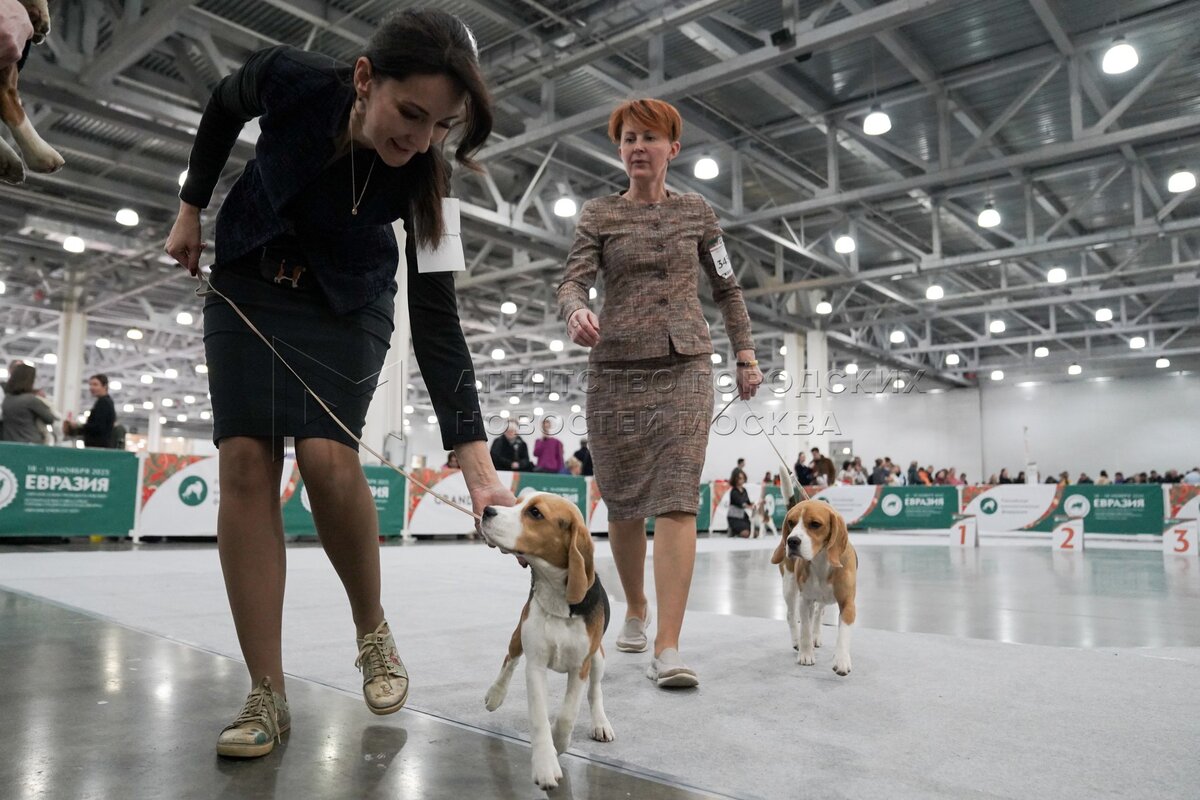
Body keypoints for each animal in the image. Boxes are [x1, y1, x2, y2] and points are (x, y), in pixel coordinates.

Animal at [478, 492, 615, 790]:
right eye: (517, 502)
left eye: (535, 513)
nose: (486, 510)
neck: (556, 597)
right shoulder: (536, 665)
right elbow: (540, 717)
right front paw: (545, 764)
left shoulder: (580, 667)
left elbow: (567, 716)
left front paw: (559, 743)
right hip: (518, 635)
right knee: (509, 660)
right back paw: (495, 694)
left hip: (598, 657)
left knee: (595, 691)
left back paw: (600, 723)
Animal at [771, 473, 857, 675]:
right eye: (791, 523)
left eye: (815, 524)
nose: (791, 541)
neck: (821, 561)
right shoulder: (805, 600)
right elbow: (804, 629)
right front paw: (805, 653)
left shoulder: (848, 603)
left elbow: (843, 632)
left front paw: (841, 659)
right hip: (789, 587)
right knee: (792, 615)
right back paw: (798, 641)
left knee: (818, 614)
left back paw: (816, 636)